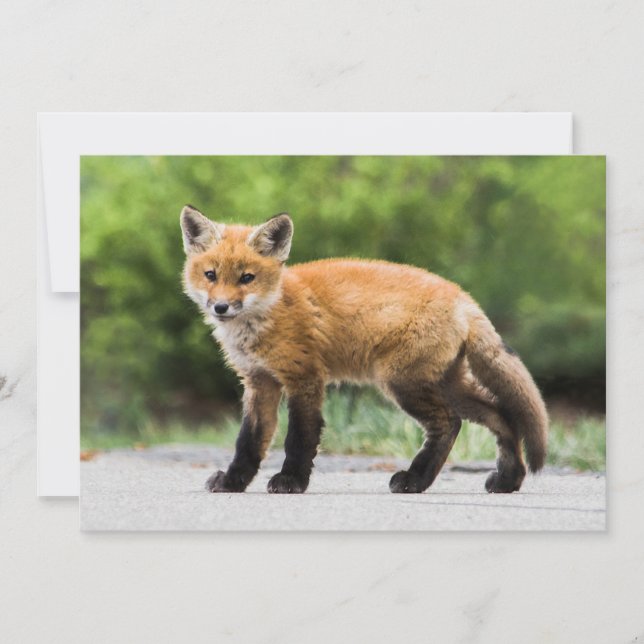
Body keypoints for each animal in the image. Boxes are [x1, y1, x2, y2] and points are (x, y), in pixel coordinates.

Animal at [180, 204, 548, 495]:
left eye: (247, 278)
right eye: (210, 275)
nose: (221, 307)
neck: (269, 314)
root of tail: (463, 297)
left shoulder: (305, 378)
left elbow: (299, 438)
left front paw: (291, 481)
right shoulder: (260, 382)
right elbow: (249, 442)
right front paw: (233, 482)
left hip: (403, 382)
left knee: (450, 423)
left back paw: (414, 479)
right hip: (446, 383)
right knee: (500, 415)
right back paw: (506, 479)